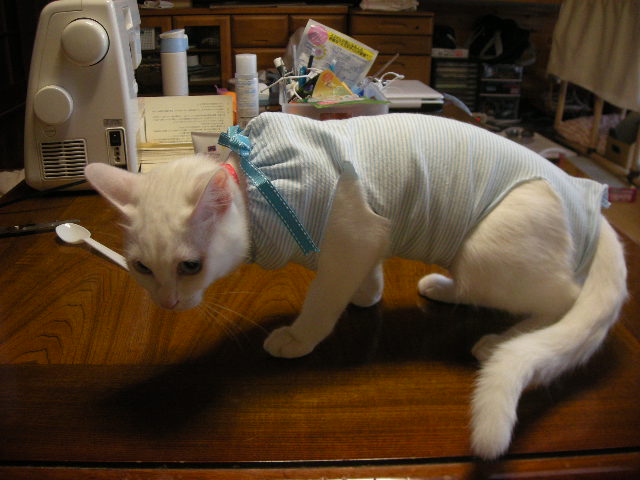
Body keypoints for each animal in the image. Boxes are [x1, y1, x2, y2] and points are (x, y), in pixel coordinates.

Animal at [85, 112, 627, 460]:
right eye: (141, 268)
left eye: (190, 266)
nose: (168, 302)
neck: (259, 185)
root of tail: (592, 208)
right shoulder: (368, 240)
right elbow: (366, 279)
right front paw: (368, 297)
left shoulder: (354, 236)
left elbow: (323, 301)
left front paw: (298, 337)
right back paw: (442, 287)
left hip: (487, 253)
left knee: (566, 300)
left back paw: (502, 340)